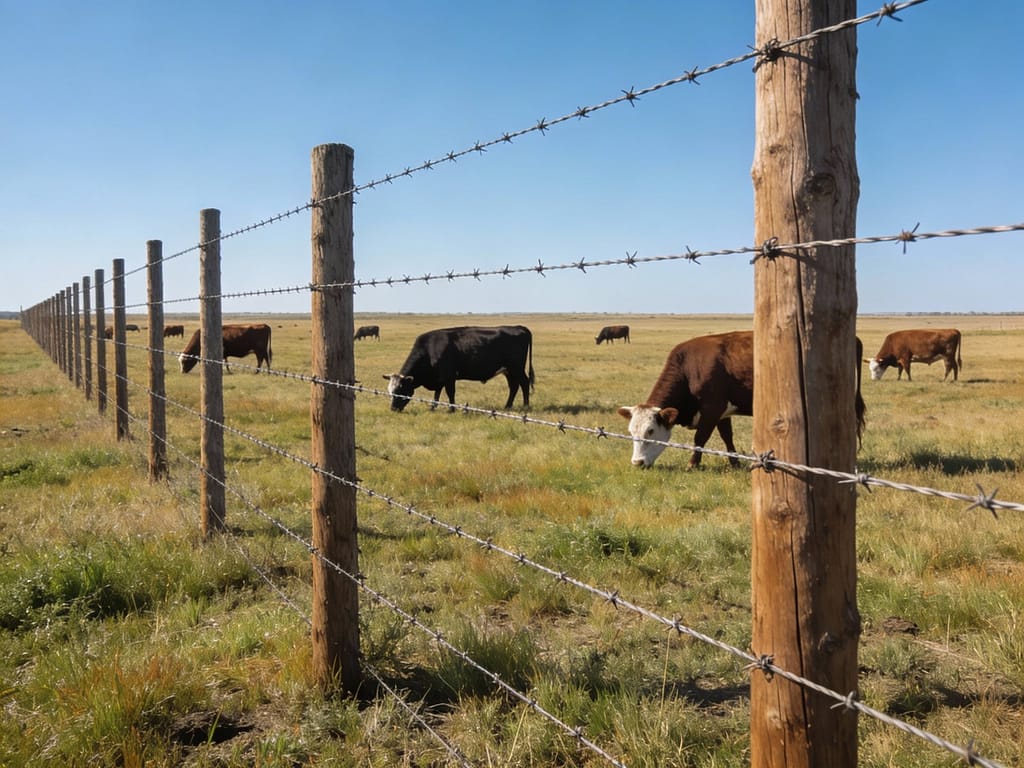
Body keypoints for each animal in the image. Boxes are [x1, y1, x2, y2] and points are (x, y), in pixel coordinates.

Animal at [384, 325, 534, 412]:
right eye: (390, 392)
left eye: (401, 390)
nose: (393, 409)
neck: (430, 349)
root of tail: (518, 327)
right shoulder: (440, 377)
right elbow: (437, 393)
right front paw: (433, 407)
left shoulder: (448, 375)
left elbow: (450, 392)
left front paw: (451, 409)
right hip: (508, 371)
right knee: (514, 386)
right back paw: (507, 406)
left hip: (516, 368)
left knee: (524, 383)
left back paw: (526, 406)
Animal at [618, 330, 866, 469]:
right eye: (631, 432)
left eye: (650, 431)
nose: (637, 463)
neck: (689, 369)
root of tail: (854, 338)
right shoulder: (722, 411)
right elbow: (727, 437)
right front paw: (734, 462)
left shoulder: (712, 408)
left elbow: (700, 438)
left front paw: (692, 464)